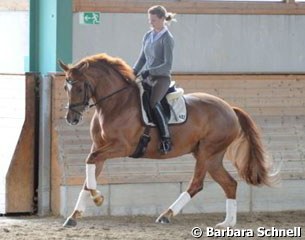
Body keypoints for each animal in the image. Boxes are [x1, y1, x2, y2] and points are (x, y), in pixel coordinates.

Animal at [58, 53, 274, 228]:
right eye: (65, 87)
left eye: (78, 88)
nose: (71, 119)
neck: (116, 104)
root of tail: (230, 109)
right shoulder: (100, 147)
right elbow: (89, 173)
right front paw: (75, 216)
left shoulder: (122, 147)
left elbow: (90, 161)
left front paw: (98, 198)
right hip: (212, 157)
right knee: (230, 184)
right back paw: (227, 223)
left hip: (207, 152)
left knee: (197, 184)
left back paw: (166, 215)